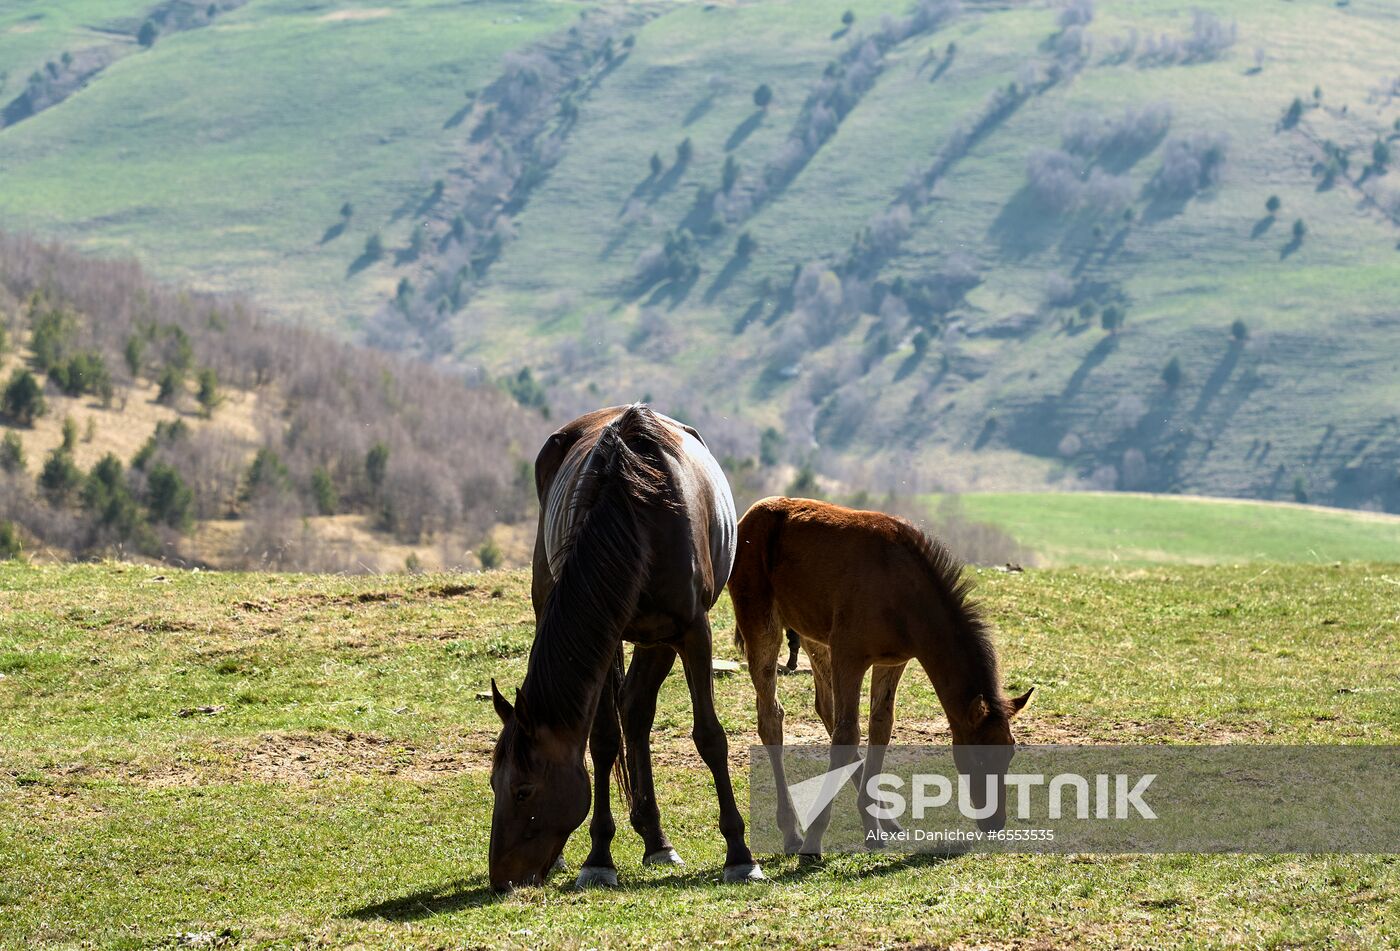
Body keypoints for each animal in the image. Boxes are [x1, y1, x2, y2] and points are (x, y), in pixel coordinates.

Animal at [487, 403, 761, 890]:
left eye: (523, 790)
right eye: (492, 785)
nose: (501, 879)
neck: (636, 515)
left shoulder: (693, 631)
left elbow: (710, 737)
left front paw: (739, 854)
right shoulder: (607, 634)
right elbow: (602, 743)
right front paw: (598, 856)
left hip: (659, 639)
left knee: (635, 709)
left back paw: (657, 841)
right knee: (627, 715)